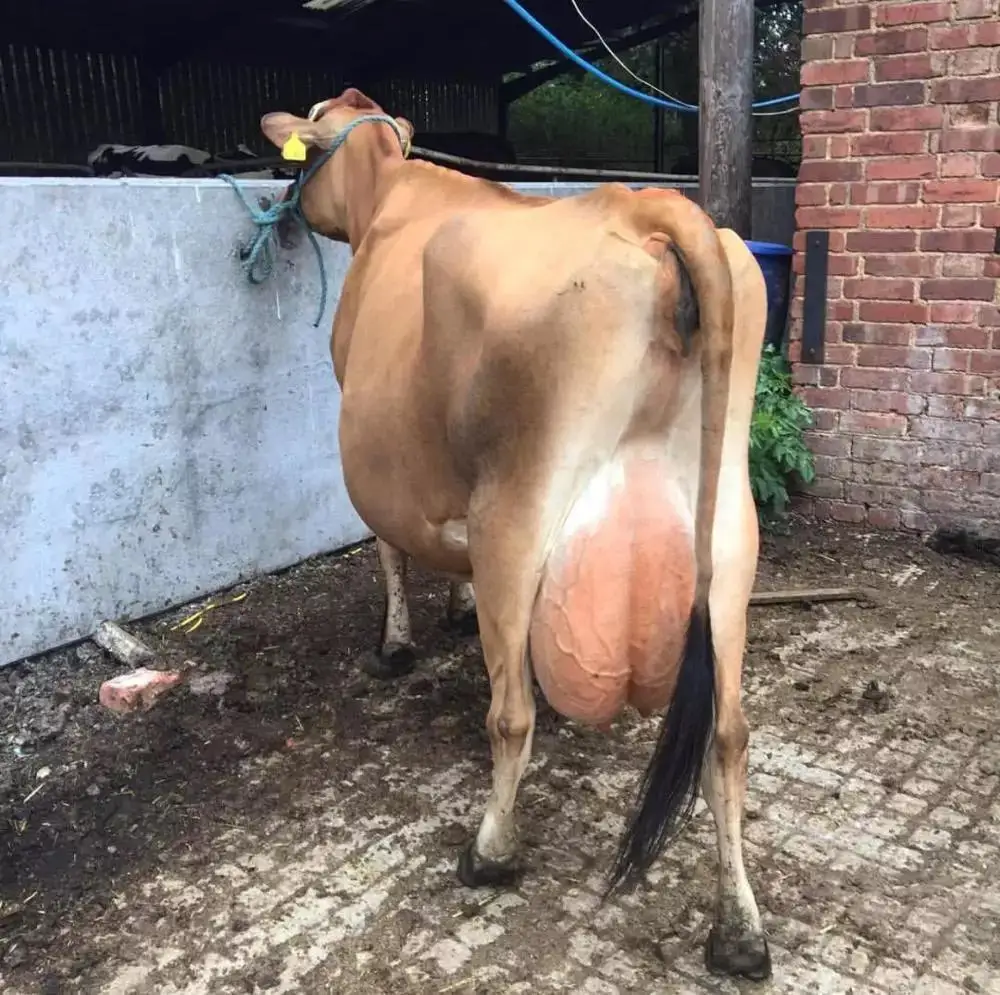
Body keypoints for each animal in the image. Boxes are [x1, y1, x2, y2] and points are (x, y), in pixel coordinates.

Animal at [257, 87, 770, 980]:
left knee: (513, 715)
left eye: (309, 138)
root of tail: (641, 206)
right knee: (728, 735)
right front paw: (455, 610)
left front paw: (397, 642)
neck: (386, 192)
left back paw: (490, 848)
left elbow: (388, 548)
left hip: (517, 512)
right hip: (731, 540)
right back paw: (739, 928)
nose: (286, 215)